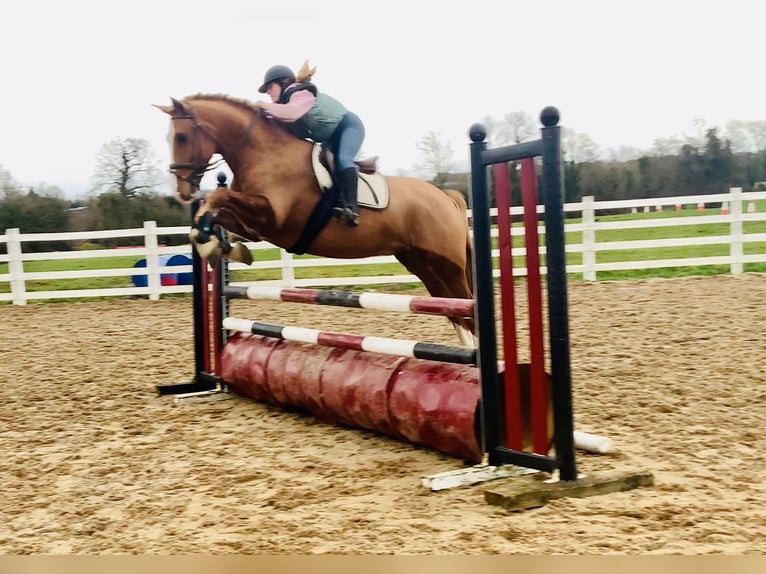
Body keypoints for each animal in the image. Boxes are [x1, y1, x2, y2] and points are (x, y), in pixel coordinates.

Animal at [155, 94, 475, 345]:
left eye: (181, 137)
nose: (182, 192)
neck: (264, 153)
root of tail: (446, 197)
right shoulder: (256, 225)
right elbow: (215, 212)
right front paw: (219, 245)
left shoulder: (272, 218)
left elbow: (217, 197)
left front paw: (212, 242)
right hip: (422, 263)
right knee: (454, 311)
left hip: (448, 266)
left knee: (467, 309)